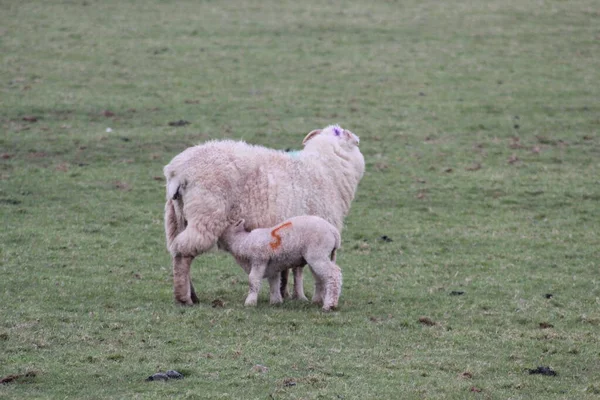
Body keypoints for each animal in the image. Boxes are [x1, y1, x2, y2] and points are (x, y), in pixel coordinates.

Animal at [162, 123, 364, 304]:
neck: (325, 169)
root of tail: (177, 171)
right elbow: (300, 270)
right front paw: (301, 296)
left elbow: (288, 268)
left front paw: (285, 293)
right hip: (205, 214)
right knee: (184, 255)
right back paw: (184, 298)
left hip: (177, 217)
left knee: (176, 251)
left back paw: (191, 295)